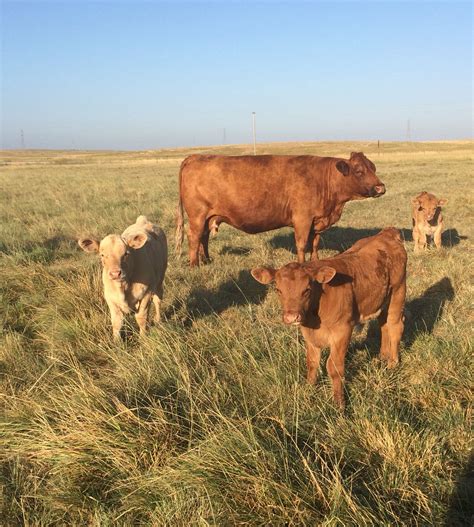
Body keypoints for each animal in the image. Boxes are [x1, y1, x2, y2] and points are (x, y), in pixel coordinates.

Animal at [174, 153, 386, 268]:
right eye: (359, 170)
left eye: (373, 168)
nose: (380, 188)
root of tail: (195, 156)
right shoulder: (302, 219)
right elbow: (302, 244)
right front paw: (302, 265)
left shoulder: (317, 221)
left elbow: (315, 244)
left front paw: (315, 262)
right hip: (197, 215)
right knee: (194, 237)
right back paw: (194, 265)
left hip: (208, 216)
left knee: (203, 237)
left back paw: (206, 260)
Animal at [250, 228, 406, 408]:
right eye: (278, 290)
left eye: (307, 289)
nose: (291, 316)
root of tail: (386, 233)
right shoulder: (309, 334)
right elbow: (312, 362)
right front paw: (309, 390)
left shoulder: (342, 331)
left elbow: (333, 366)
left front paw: (339, 404)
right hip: (380, 300)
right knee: (383, 325)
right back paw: (382, 357)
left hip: (398, 292)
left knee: (395, 326)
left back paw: (392, 364)